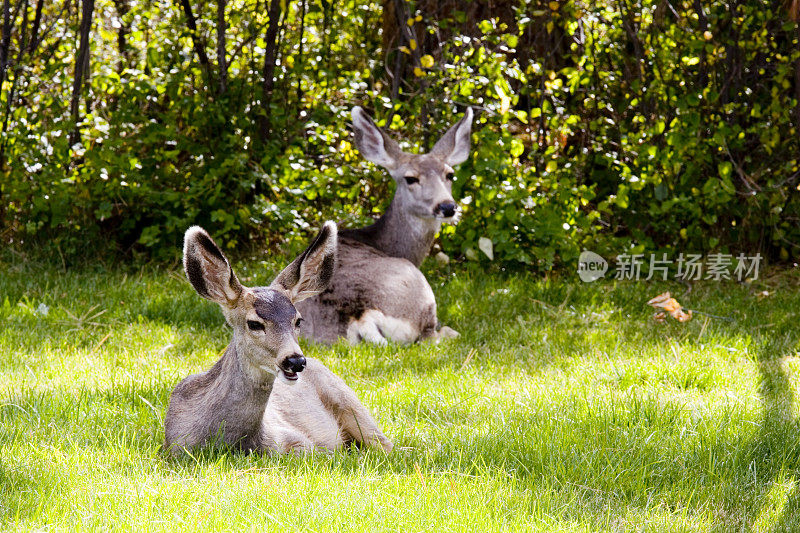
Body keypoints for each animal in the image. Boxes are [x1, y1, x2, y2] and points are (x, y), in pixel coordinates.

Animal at [165, 222, 394, 456]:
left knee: (385, 444)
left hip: (348, 400)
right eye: (254, 324)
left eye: (298, 320)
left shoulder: (298, 441)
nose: (295, 360)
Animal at [296, 105, 476, 344]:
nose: (447, 206)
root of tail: (360, 316)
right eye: (410, 178)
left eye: (450, 175)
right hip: (422, 293)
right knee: (434, 335)